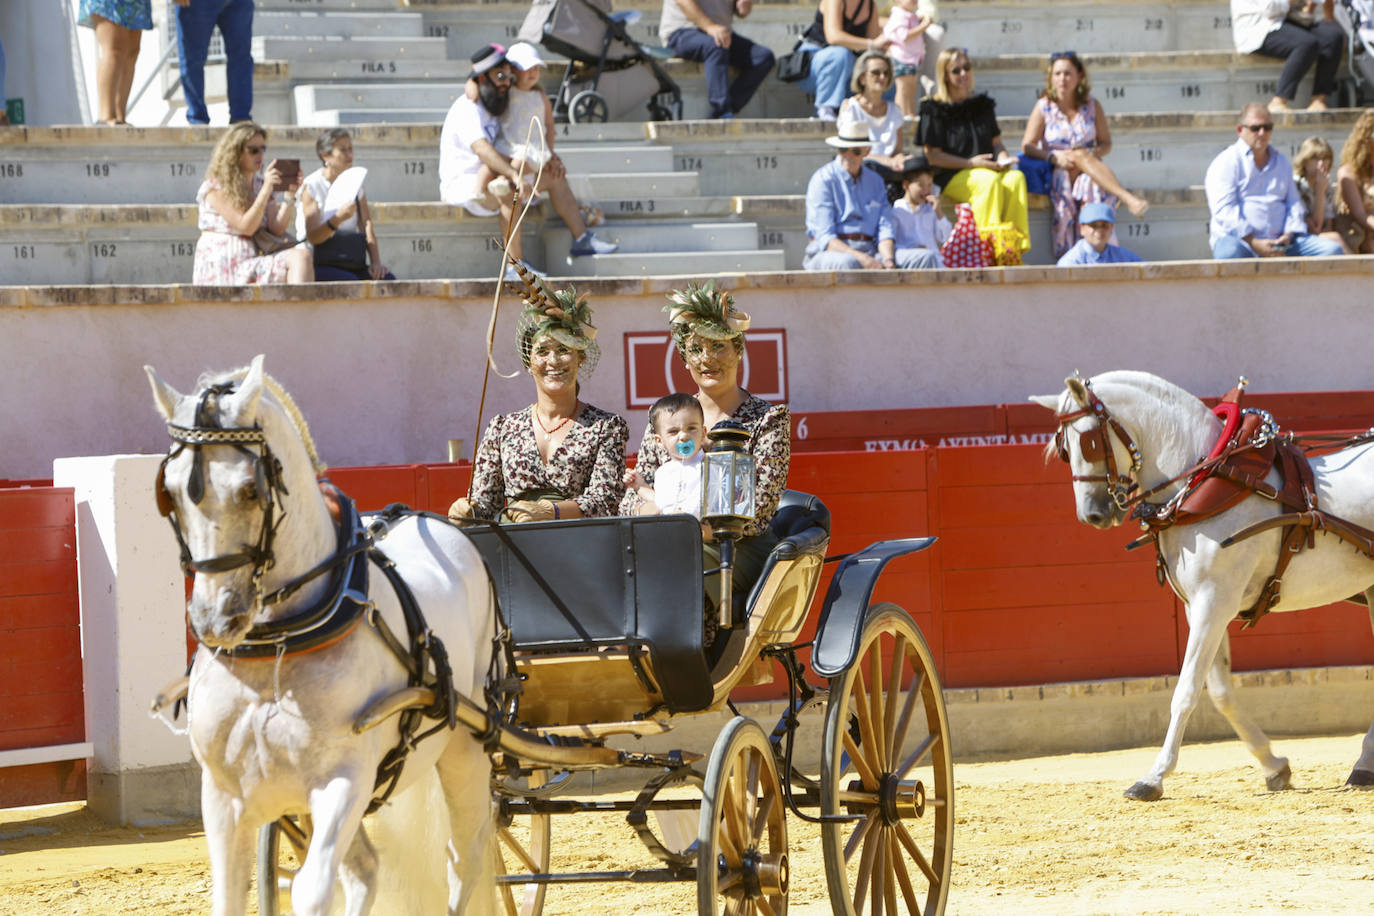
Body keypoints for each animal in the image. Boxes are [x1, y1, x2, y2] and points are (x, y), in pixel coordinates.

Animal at [146, 357, 500, 916]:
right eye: (172, 494)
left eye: (251, 489)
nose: (214, 618)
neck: (278, 643)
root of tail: (436, 521)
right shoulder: (223, 796)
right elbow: (232, 895)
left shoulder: (344, 780)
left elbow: (313, 889)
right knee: (366, 869)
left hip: (466, 747)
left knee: (464, 861)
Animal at [1033, 373, 1374, 802]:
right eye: (1064, 450)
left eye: (1088, 442)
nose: (1091, 514)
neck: (1208, 481)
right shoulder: (1202, 607)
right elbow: (1220, 690)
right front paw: (1274, 765)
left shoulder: (1215, 602)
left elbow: (1186, 691)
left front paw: (1153, 777)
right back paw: (1363, 766)